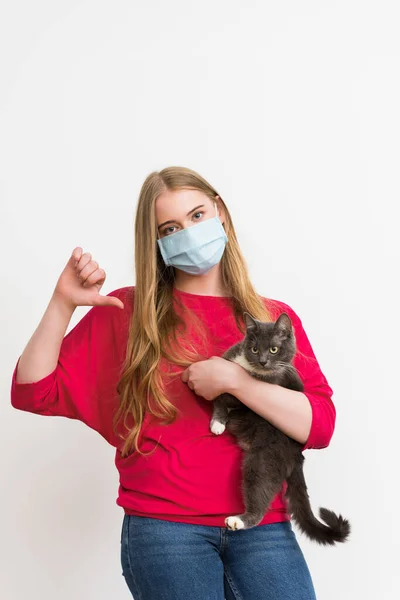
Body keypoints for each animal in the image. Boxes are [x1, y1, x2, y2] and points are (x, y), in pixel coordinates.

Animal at [209, 312, 350, 548]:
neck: (248, 369)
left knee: (260, 491)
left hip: (264, 459)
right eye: (254, 349)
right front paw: (218, 421)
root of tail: (298, 454)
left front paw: (217, 422)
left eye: (274, 349)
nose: (263, 361)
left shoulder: (251, 389)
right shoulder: (228, 360)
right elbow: (221, 398)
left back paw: (239, 520)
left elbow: (226, 394)